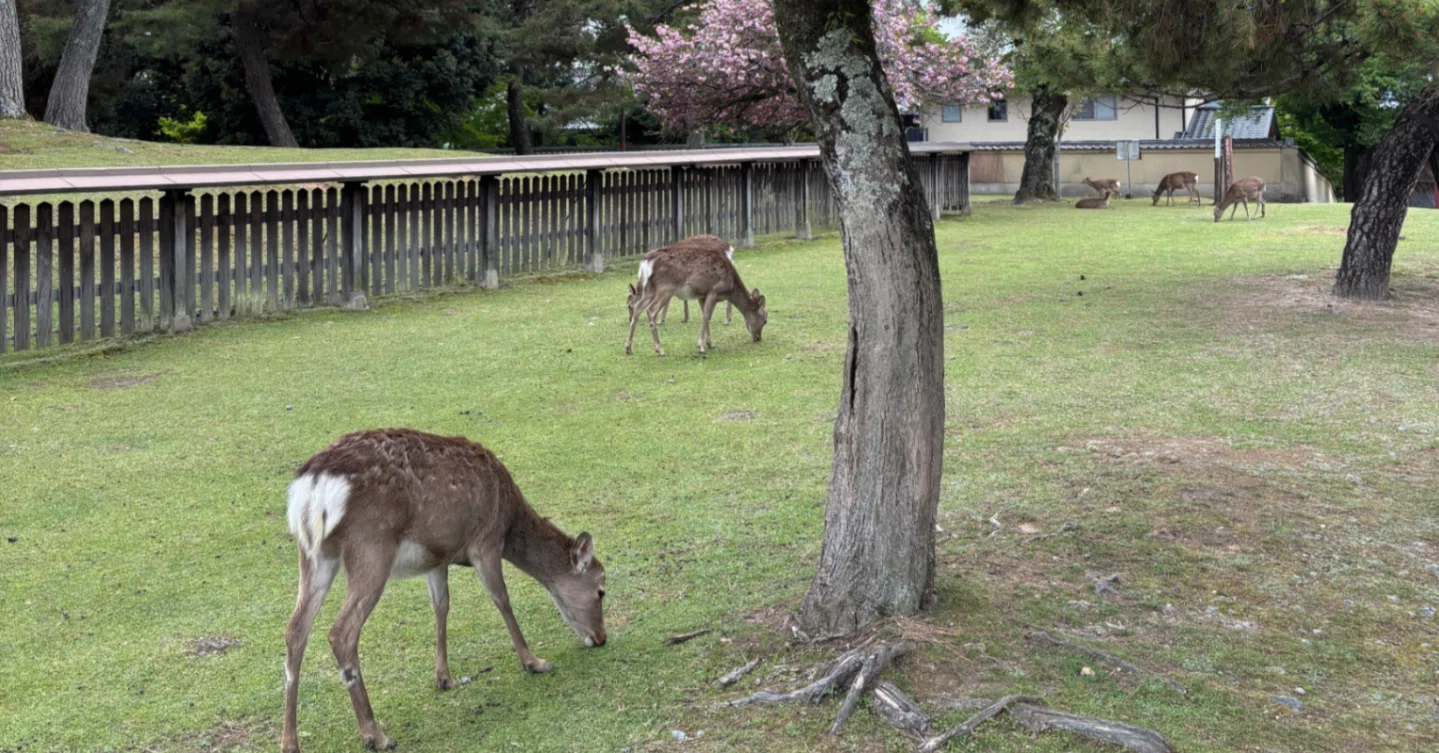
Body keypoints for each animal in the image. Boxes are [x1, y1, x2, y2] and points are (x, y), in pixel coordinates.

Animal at [281, 429, 606, 753]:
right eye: (602, 589)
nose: (601, 637)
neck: (510, 521)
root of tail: (312, 486)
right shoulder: (485, 542)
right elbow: (501, 599)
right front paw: (535, 662)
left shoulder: (437, 557)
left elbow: (441, 606)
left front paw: (445, 678)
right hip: (371, 547)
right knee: (341, 632)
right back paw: (375, 734)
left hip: (315, 555)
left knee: (295, 628)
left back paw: (290, 742)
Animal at [625, 234, 767, 356]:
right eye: (765, 320)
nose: (758, 338)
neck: (730, 287)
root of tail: (646, 262)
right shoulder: (714, 290)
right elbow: (706, 316)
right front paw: (701, 347)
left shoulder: (701, 295)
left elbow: (706, 316)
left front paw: (710, 344)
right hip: (666, 287)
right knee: (651, 310)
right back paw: (659, 350)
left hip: (650, 288)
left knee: (639, 308)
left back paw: (628, 348)